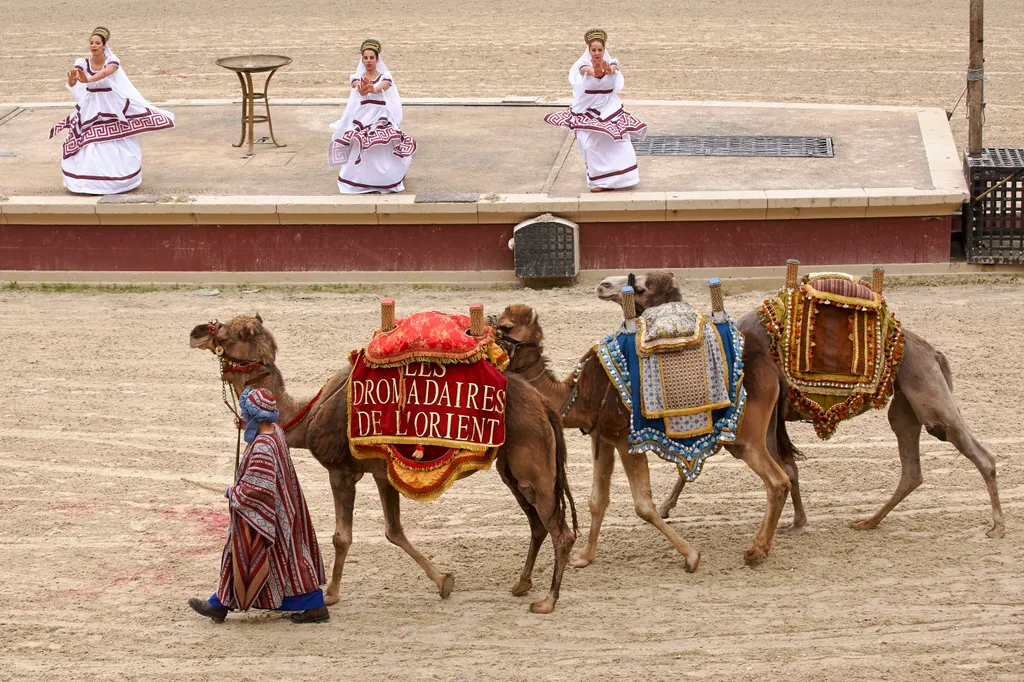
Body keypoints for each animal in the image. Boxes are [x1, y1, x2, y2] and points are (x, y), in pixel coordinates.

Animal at [190, 313, 577, 610]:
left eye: (229, 331)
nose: (196, 332)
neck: (307, 414)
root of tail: (544, 404)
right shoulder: (381, 472)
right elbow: (394, 531)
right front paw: (444, 581)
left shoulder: (341, 471)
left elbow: (342, 537)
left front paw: (330, 594)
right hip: (511, 468)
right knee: (538, 523)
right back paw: (522, 584)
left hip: (532, 467)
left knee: (561, 530)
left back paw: (548, 601)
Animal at [495, 268, 790, 565]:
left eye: (505, 327)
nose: (488, 342)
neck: (578, 393)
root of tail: (773, 369)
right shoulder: (602, 438)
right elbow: (596, 500)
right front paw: (584, 557)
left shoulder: (627, 441)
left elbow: (643, 506)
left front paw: (691, 556)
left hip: (745, 435)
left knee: (777, 481)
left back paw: (756, 551)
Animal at [598, 268, 1003, 540]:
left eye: (638, 285)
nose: (603, 285)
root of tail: (929, 349)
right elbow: (789, 467)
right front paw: (797, 521)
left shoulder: (756, 413)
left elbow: (779, 467)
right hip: (906, 403)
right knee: (912, 469)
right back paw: (868, 521)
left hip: (928, 394)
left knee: (975, 451)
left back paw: (996, 525)